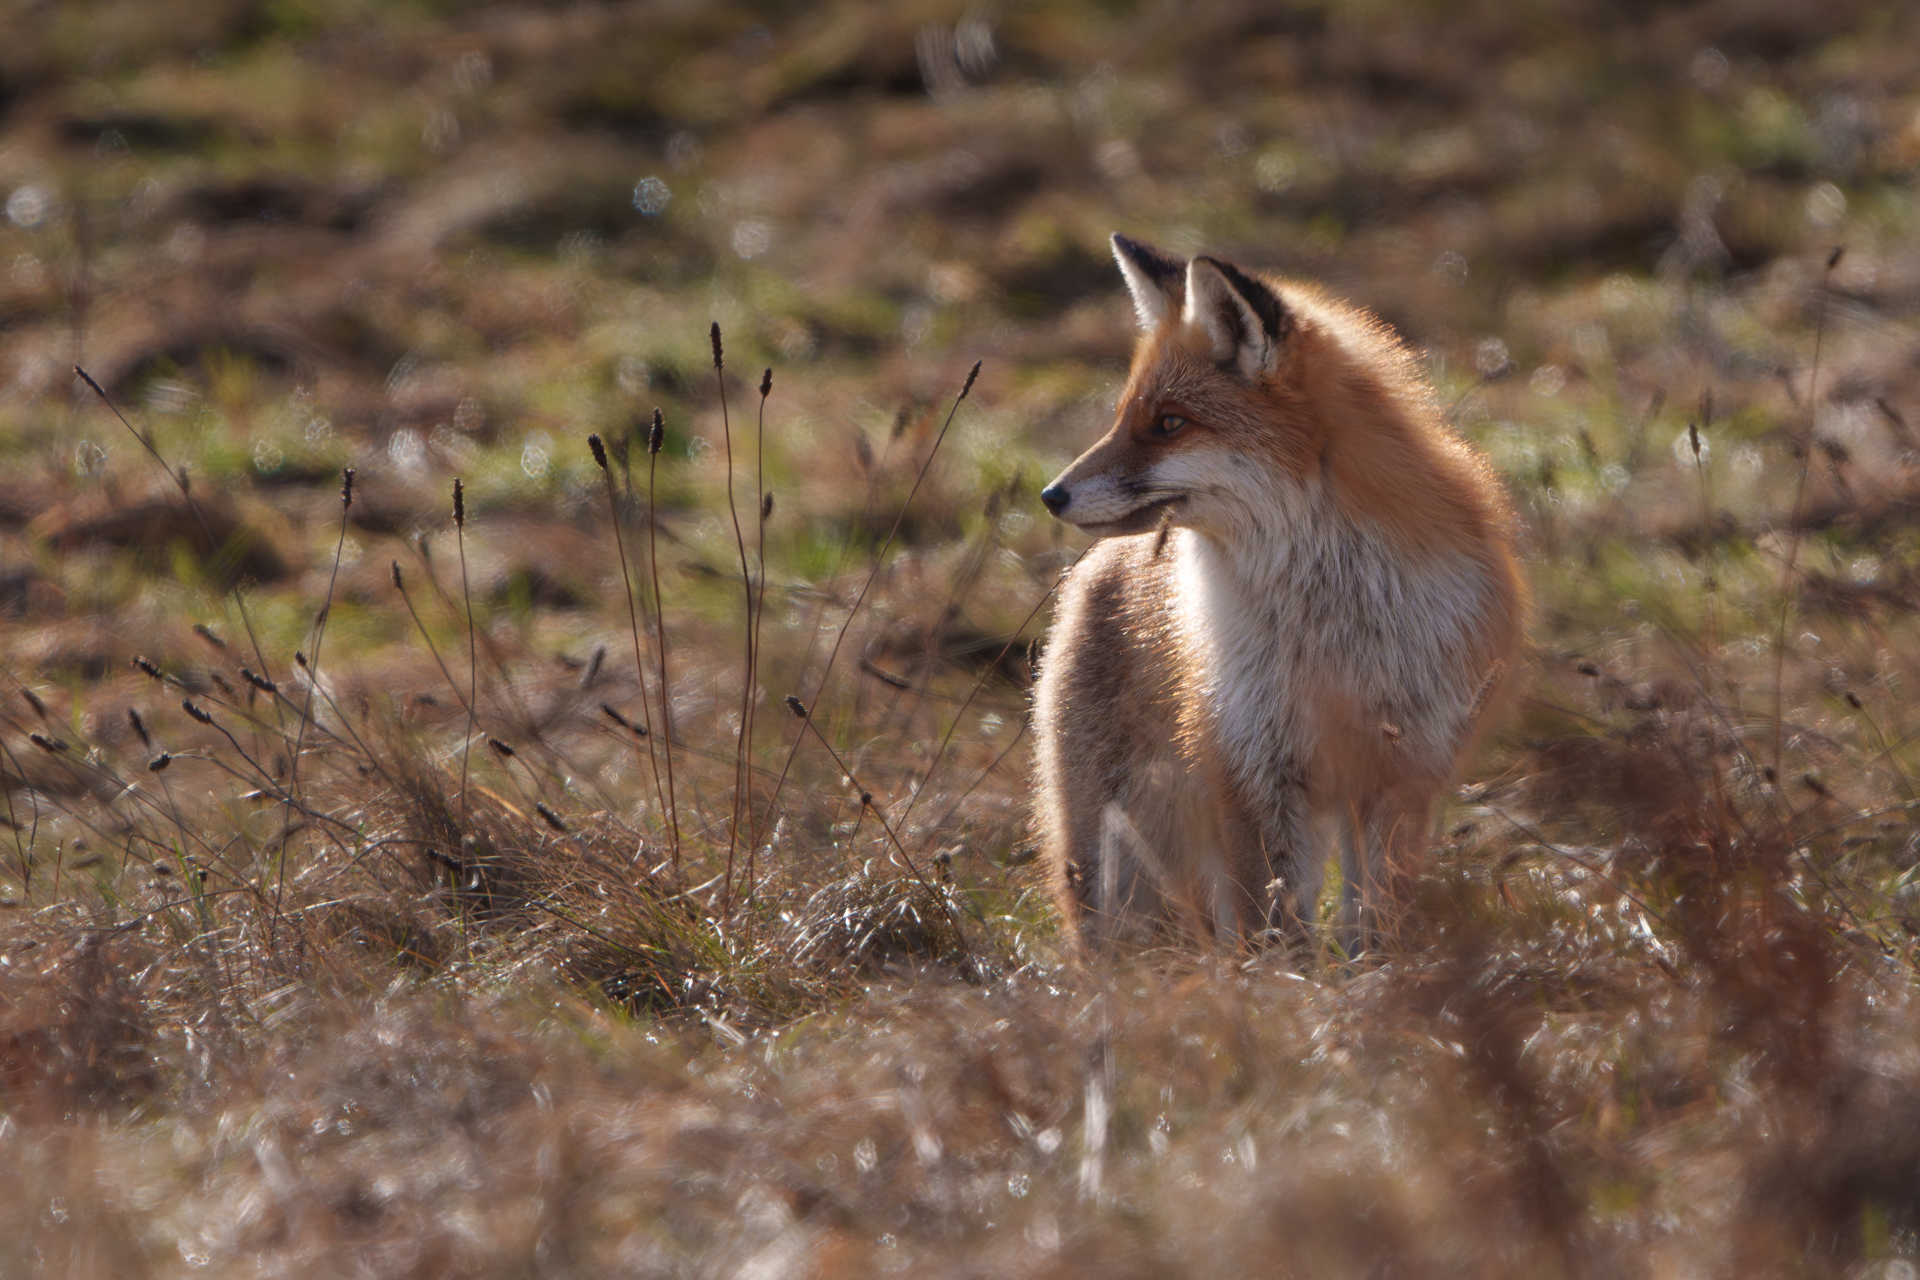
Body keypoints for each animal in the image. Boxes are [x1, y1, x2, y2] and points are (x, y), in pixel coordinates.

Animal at [1044, 233, 1520, 951]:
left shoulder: (1400, 773)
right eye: (1125, 416)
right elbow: (1274, 933)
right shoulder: (1250, 770)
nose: (1050, 494)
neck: (1333, 623)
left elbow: (1373, 923)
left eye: (1169, 423)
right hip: (1117, 864)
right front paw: (1286, 986)